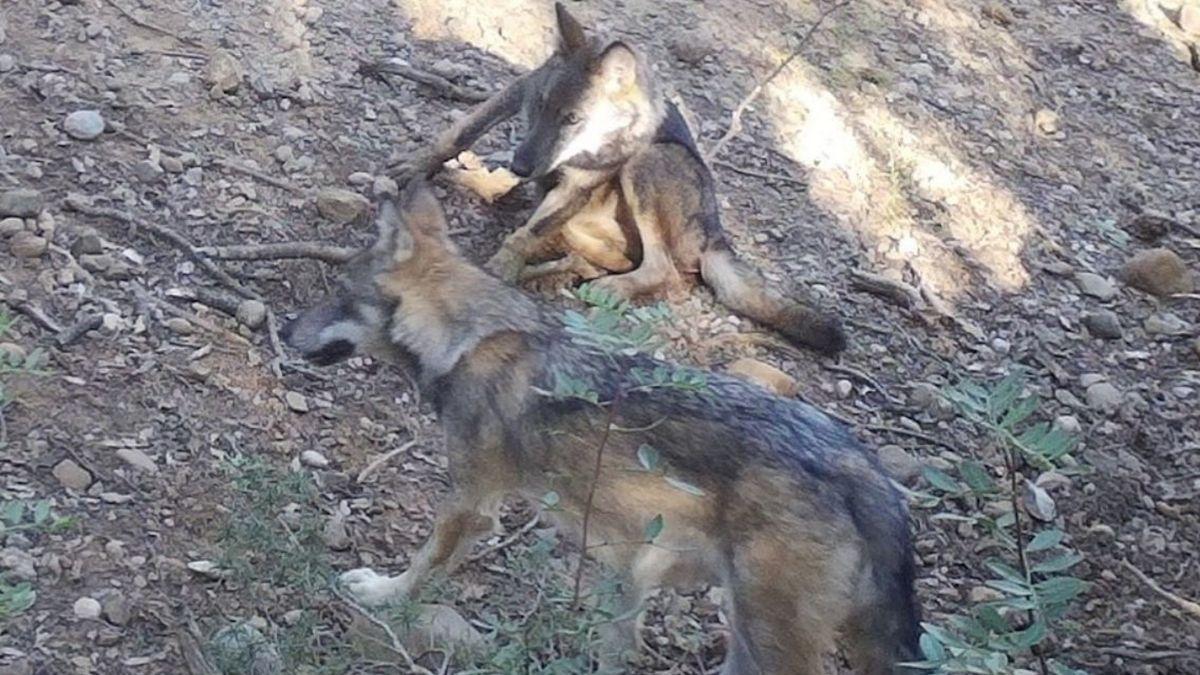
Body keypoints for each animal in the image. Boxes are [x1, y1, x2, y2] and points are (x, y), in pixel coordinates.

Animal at [282, 182, 920, 674]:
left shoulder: (471, 504)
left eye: (339, 295)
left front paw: (383, 595)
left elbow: (420, 568)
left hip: (766, 634)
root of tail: (865, 469)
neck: (467, 339)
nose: (285, 330)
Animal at [391, 2, 846, 355]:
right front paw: (415, 166)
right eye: (539, 106)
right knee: (599, 258)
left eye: (572, 119)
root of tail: (715, 235)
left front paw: (502, 268)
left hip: (646, 164)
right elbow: (460, 131)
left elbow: (525, 234)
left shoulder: (580, 184)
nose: (520, 166)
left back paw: (602, 285)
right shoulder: (516, 91)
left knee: (664, 271)